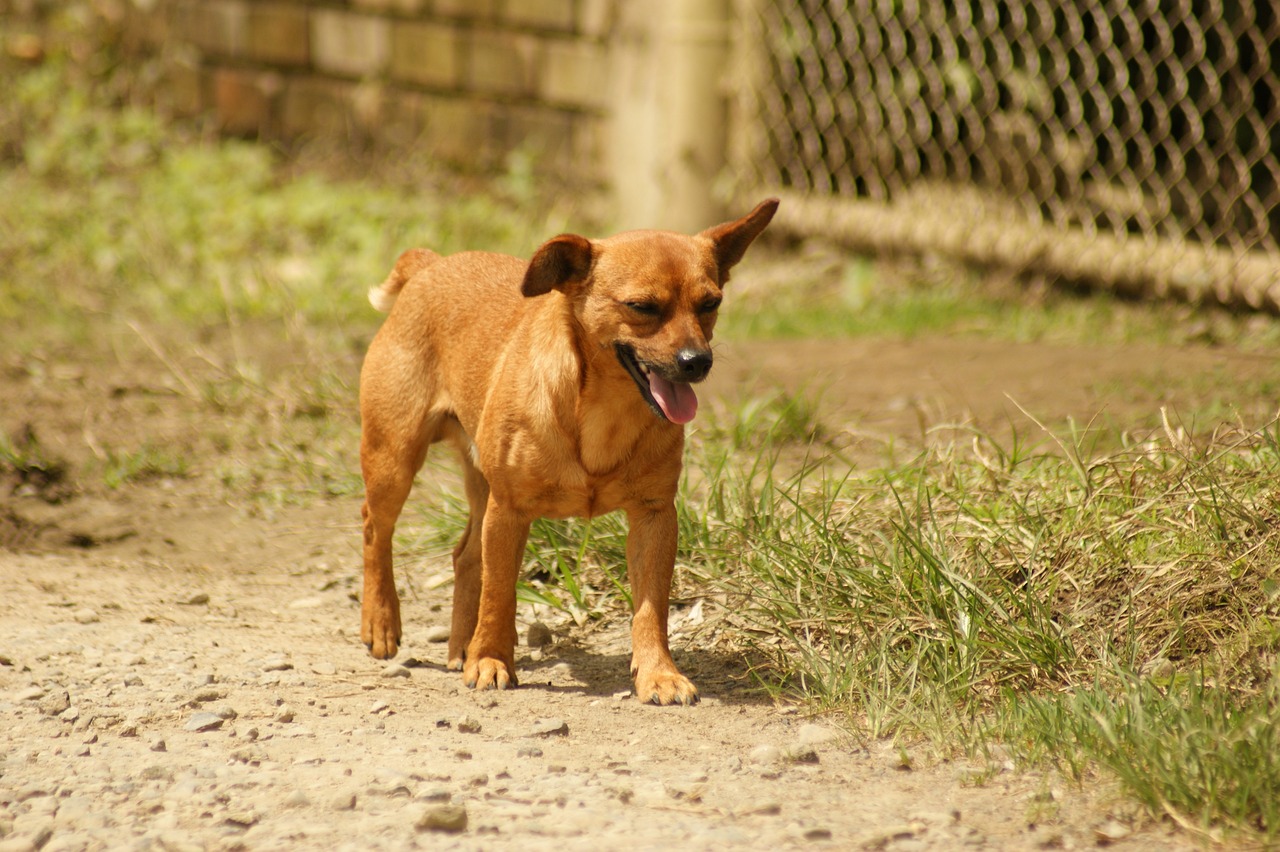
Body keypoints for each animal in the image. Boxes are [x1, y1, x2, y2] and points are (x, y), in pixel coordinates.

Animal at [358, 199, 778, 701]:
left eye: (710, 304)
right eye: (642, 307)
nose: (698, 362)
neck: (604, 411)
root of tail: (430, 264)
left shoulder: (654, 517)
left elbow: (651, 608)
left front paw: (659, 673)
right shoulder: (510, 511)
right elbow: (500, 593)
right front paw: (491, 660)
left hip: (480, 488)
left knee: (466, 556)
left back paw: (462, 645)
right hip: (395, 460)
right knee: (375, 530)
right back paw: (382, 624)